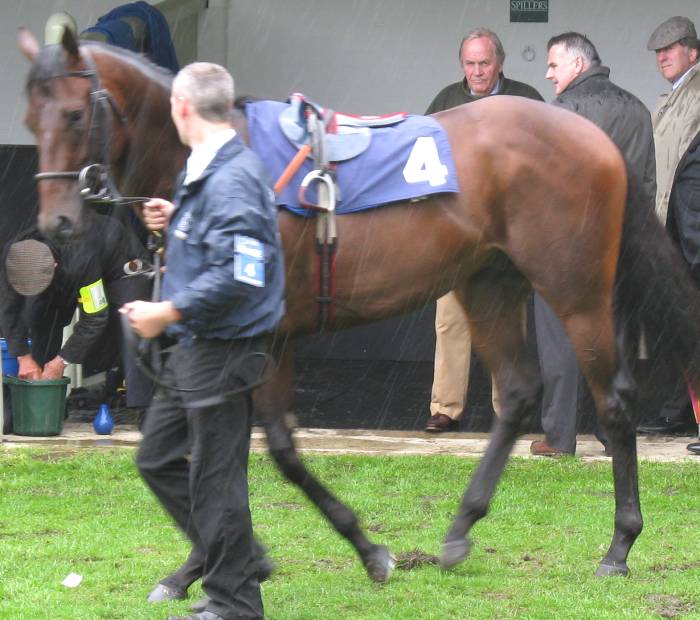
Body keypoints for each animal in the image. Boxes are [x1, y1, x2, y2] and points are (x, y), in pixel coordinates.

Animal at [18, 27, 700, 584]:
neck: (225, 159)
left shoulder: (270, 337)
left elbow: (275, 451)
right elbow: (221, 454)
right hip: (489, 283)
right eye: (29, 118)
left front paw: (361, 549)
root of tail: (595, 137)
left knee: (614, 402)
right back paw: (461, 529)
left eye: (75, 114)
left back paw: (619, 545)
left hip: (576, 290)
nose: (55, 223)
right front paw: (209, 563)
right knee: (518, 391)